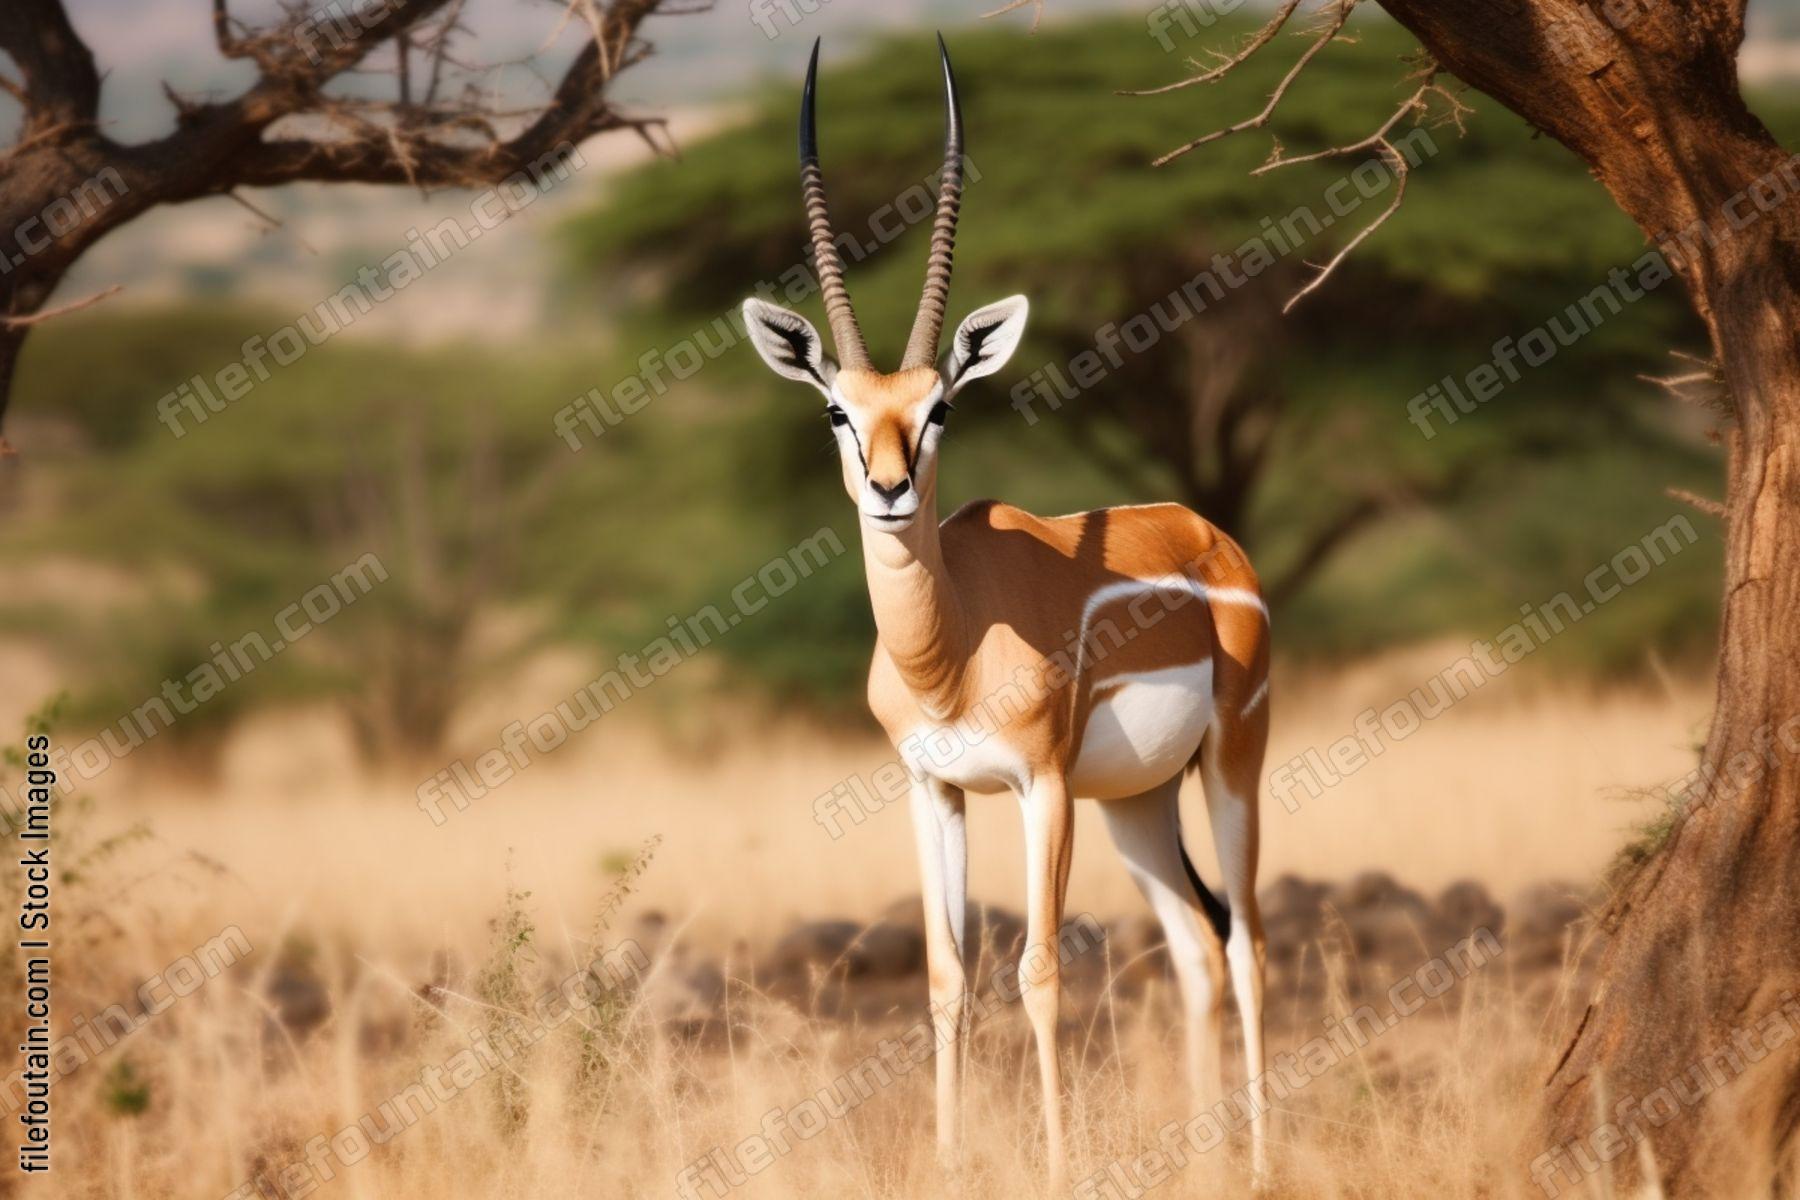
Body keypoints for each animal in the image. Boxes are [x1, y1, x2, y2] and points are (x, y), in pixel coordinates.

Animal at [741, 37, 1271, 1187]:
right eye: (837, 410)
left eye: (940, 405)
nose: (891, 491)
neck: (949, 654)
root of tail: (1210, 537)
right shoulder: (933, 792)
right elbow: (947, 978)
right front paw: (947, 1164)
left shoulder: (1042, 788)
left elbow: (1037, 971)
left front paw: (1060, 1168)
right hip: (1137, 804)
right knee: (1197, 949)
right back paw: (1211, 1158)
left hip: (1228, 765)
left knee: (1247, 940)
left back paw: (1259, 1161)